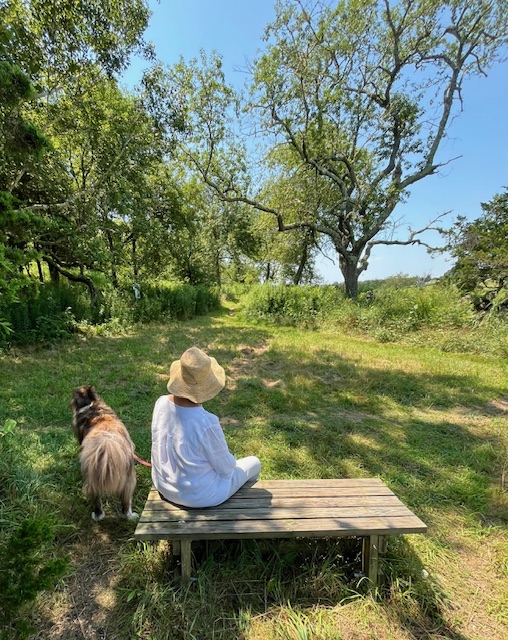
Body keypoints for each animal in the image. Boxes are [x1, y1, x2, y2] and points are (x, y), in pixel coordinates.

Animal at [70, 384, 137, 520]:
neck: (90, 406)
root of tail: (107, 444)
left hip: (91, 478)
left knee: (96, 499)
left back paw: (97, 515)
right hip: (129, 478)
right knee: (126, 500)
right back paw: (128, 515)